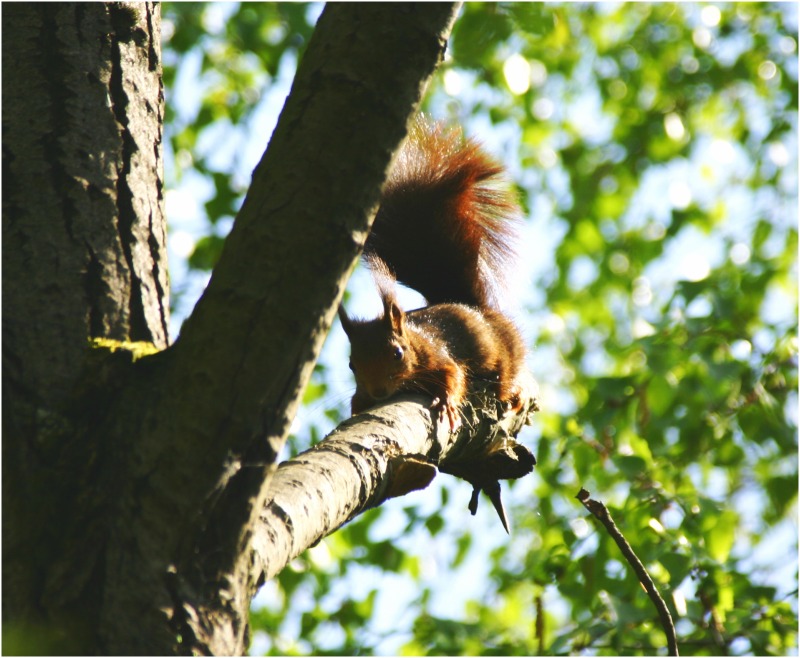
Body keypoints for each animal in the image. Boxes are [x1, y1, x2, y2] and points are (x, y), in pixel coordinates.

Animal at [340, 116, 532, 528]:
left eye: (397, 353)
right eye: (351, 364)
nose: (379, 392)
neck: (414, 340)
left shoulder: (439, 355)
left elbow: (453, 375)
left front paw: (444, 402)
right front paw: (357, 406)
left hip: (505, 352)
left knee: (508, 375)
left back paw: (511, 395)